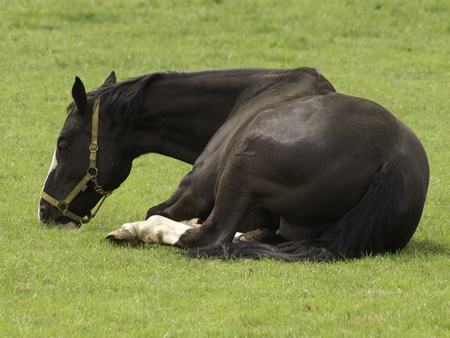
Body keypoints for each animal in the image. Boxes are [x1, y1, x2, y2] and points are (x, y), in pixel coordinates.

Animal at [37, 66, 428, 262]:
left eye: (62, 143)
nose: (45, 210)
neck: (249, 94)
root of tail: (392, 161)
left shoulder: (191, 193)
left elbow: (161, 212)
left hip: (240, 170)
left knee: (208, 238)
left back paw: (137, 231)